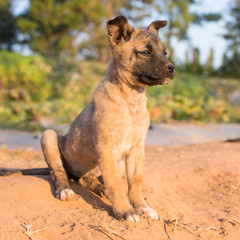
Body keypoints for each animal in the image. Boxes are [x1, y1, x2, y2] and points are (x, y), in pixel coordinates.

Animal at [41, 15, 175, 222]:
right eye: (145, 52)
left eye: (165, 53)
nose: (172, 68)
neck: (130, 100)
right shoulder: (107, 148)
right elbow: (116, 185)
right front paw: (126, 211)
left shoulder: (136, 150)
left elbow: (135, 182)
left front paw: (142, 207)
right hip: (48, 136)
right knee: (58, 171)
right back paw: (65, 189)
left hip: (115, 164)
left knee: (84, 179)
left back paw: (100, 187)